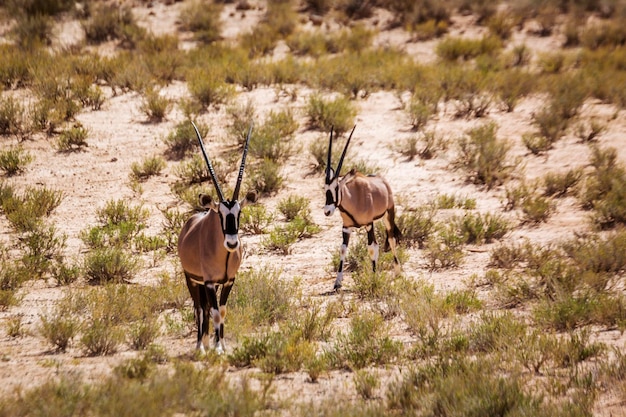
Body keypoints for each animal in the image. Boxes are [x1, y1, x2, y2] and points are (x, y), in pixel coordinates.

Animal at [176, 122, 256, 352]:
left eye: (239, 213)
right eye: (220, 213)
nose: (232, 243)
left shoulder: (227, 281)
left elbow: (222, 311)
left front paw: (221, 345)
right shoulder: (209, 282)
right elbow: (212, 312)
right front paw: (217, 348)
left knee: (205, 308)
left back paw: (206, 342)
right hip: (192, 280)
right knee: (199, 308)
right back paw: (200, 346)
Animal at [322, 125, 400, 290]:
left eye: (336, 188)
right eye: (325, 188)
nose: (327, 211)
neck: (354, 198)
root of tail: (382, 180)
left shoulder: (369, 224)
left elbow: (371, 248)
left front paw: (374, 278)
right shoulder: (346, 227)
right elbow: (343, 249)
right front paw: (337, 282)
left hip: (388, 216)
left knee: (391, 240)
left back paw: (397, 271)